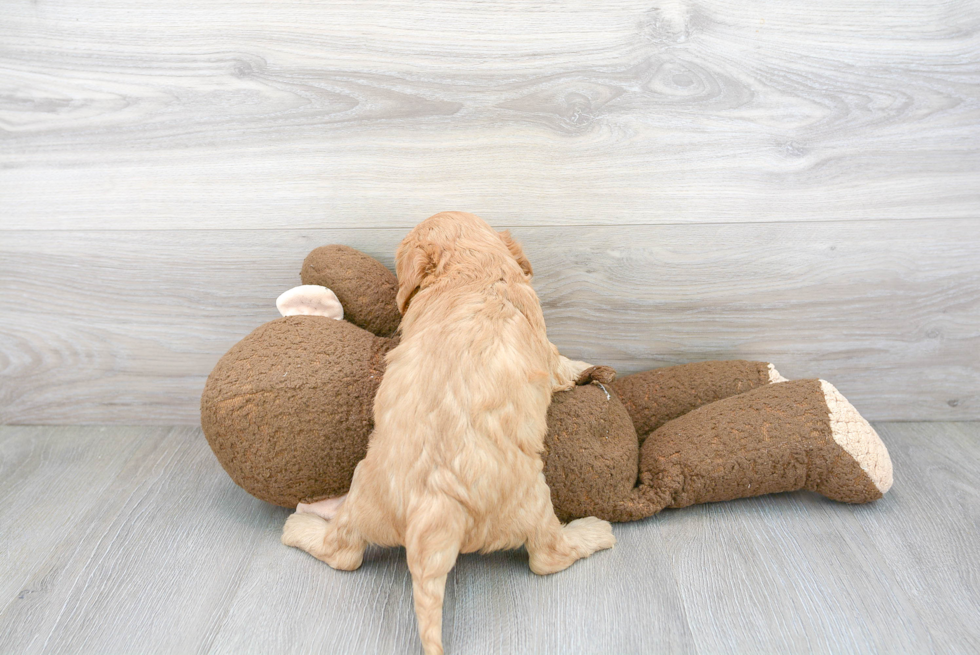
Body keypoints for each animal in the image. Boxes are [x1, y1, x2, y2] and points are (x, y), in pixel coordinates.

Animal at [284, 213, 616, 652]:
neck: (474, 270)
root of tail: (434, 506)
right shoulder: (545, 347)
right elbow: (562, 365)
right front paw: (586, 369)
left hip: (364, 492)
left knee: (344, 552)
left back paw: (299, 527)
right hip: (533, 502)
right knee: (547, 556)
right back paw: (594, 532)